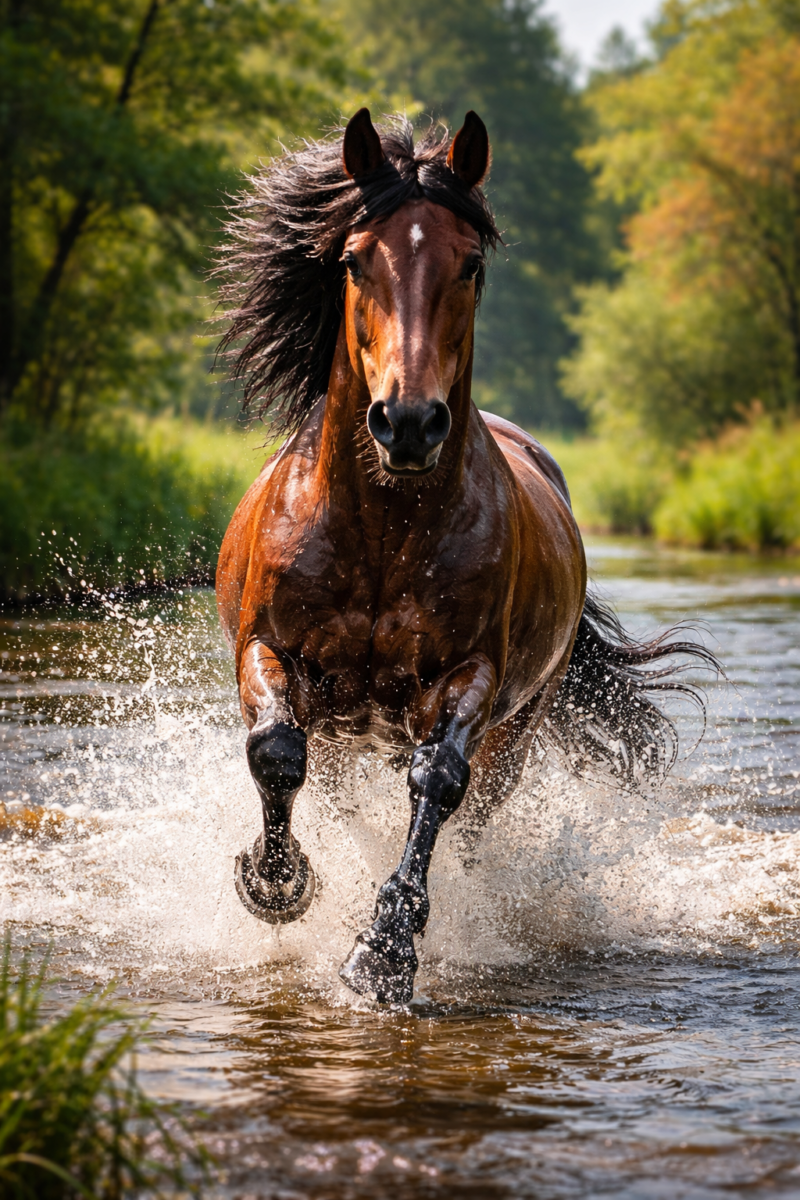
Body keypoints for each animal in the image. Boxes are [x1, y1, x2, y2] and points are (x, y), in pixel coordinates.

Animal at [215, 109, 715, 1004]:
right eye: (353, 258)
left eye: (470, 263)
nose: (409, 422)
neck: (382, 533)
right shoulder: (269, 650)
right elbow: (275, 752)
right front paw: (277, 884)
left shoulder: (471, 677)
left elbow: (438, 782)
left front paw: (383, 951)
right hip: (345, 729)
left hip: (518, 729)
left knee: (475, 814)